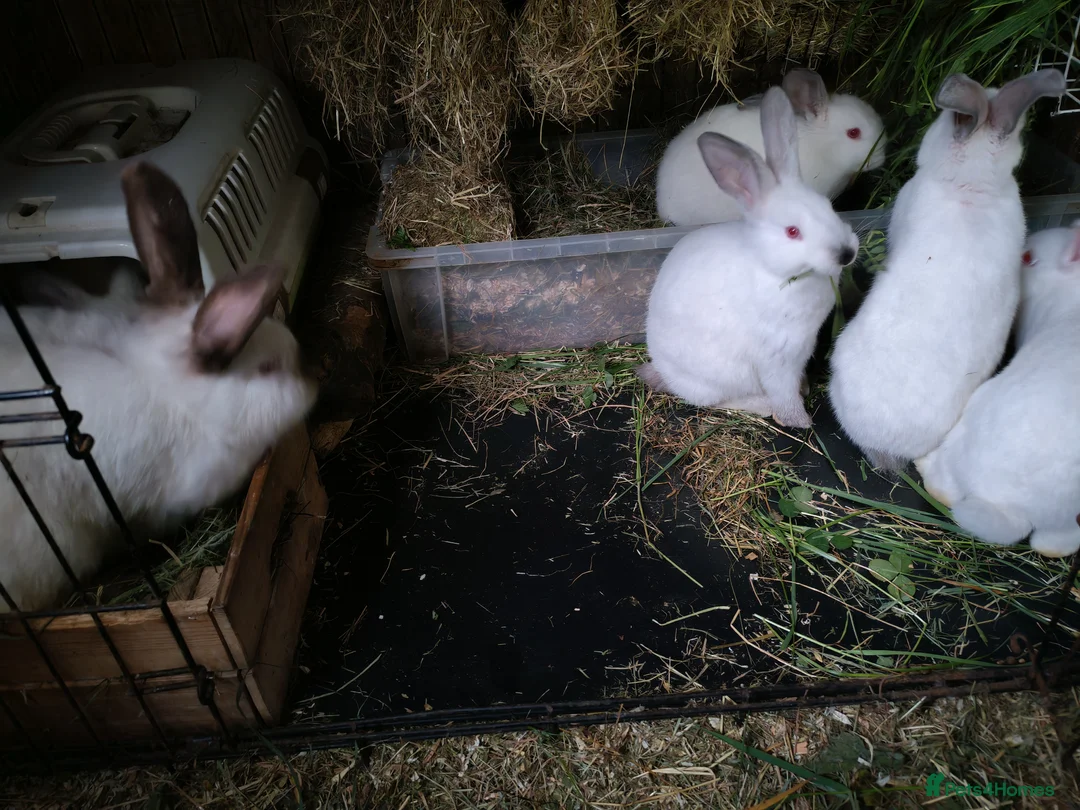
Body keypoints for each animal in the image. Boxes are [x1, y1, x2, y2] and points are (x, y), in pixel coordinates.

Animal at [639, 86, 860, 429]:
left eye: (829, 207)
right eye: (792, 231)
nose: (846, 253)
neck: (774, 271)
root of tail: (662, 370)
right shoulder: (779, 356)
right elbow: (783, 392)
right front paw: (800, 420)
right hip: (720, 378)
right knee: (715, 401)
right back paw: (761, 405)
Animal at [914, 224, 1080, 558]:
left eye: (1028, 257)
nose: (1024, 249)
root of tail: (1015, 506)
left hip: (970, 420)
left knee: (943, 489)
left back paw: (922, 465)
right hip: (1066, 520)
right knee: (1055, 544)